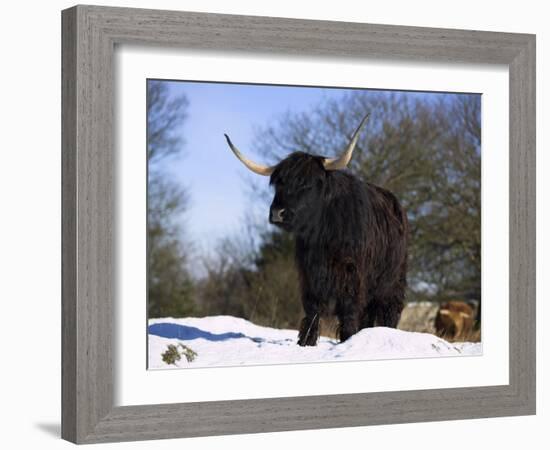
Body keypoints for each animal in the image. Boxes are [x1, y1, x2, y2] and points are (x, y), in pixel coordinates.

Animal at [224, 114, 410, 346]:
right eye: (278, 184)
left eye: (307, 184)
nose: (277, 213)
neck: (322, 236)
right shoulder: (308, 275)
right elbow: (312, 311)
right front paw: (306, 343)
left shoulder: (352, 275)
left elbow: (348, 311)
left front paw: (347, 340)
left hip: (393, 281)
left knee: (389, 311)